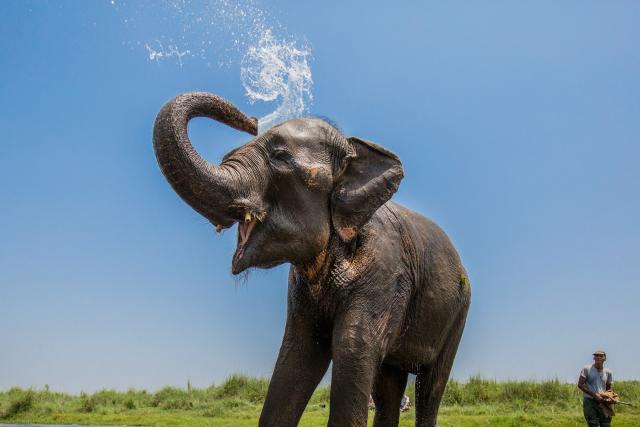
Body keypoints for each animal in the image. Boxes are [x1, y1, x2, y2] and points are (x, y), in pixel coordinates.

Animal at [152, 92, 471, 427]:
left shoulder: (387, 272)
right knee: (388, 382)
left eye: (279, 156)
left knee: (431, 383)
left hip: (459, 310)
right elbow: (298, 353)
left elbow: (353, 346)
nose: (252, 121)